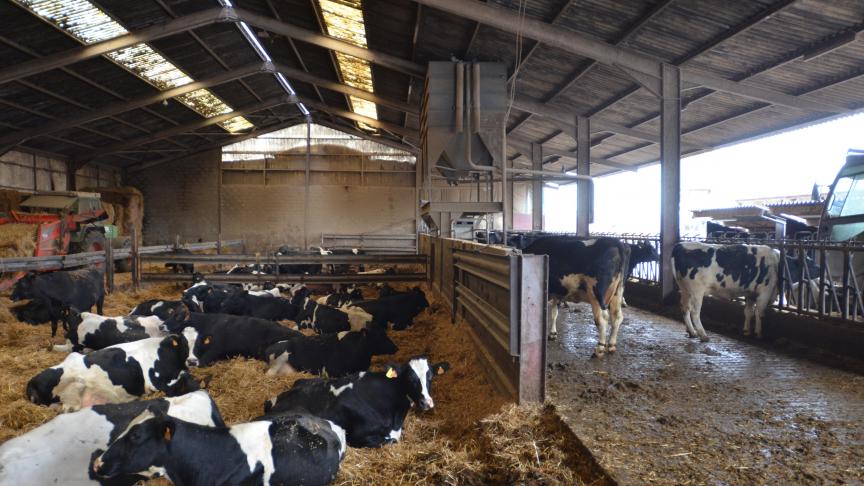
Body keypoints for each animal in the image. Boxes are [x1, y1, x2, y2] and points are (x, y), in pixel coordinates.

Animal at [27, 332, 200, 411]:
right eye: (184, 344)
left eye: (200, 343)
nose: (192, 361)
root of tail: (31, 383)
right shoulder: (156, 382)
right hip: (74, 388)